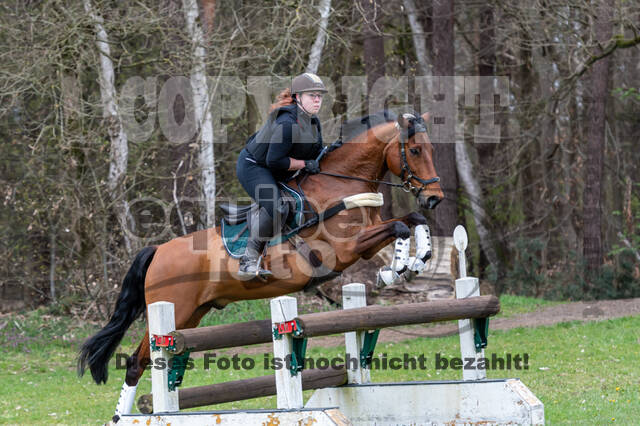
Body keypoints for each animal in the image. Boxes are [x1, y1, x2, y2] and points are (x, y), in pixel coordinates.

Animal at [77, 111, 442, 418]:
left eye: (430, 149)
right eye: (415, 150)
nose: (435, 197)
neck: (341, 184)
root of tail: (158, 250)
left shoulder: (365, 242)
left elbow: (413, 219)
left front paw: (416, 261)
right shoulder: (345, 249)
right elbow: (399, 226)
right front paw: (394, 270)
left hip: (193, 314)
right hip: (172, 310)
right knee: (136, 363)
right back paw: (120, 419)